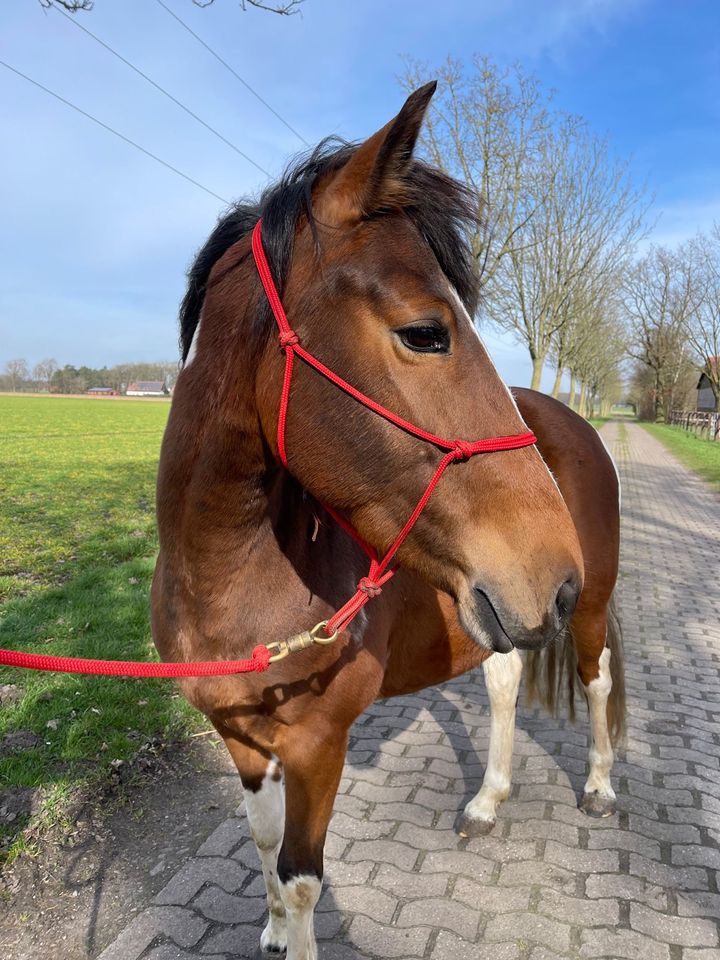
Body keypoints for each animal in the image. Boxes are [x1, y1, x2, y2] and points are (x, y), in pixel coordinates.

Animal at [152, 82, 624, 960]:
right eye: (425, 332)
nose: (552, 572)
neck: (223, 577)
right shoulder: (242, 737)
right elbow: (263, 846)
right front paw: (270, 930)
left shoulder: (317, 747)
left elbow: (303, 878)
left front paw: (292, 929)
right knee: (505, 681)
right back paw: (487, 800)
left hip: (587, 608)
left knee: (597, 678)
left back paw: (602, 788)